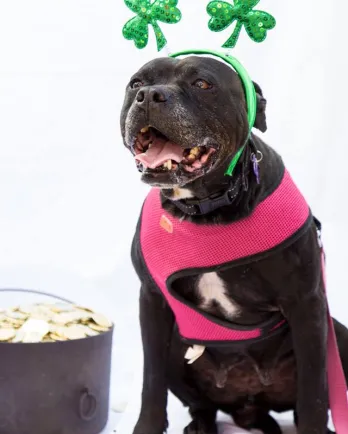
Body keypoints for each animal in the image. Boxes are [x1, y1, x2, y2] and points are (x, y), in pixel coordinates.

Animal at [120, 56, 348, 432]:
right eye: (136, 83)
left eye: (202, 84)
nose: (149, 95)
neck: (205, 209)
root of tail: (249, 406)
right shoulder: (151, 301)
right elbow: (151, 382)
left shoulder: (307, 303)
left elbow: (315, 391)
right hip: (177, 350)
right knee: (201, 404)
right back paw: (201, 425)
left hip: (337, 337)